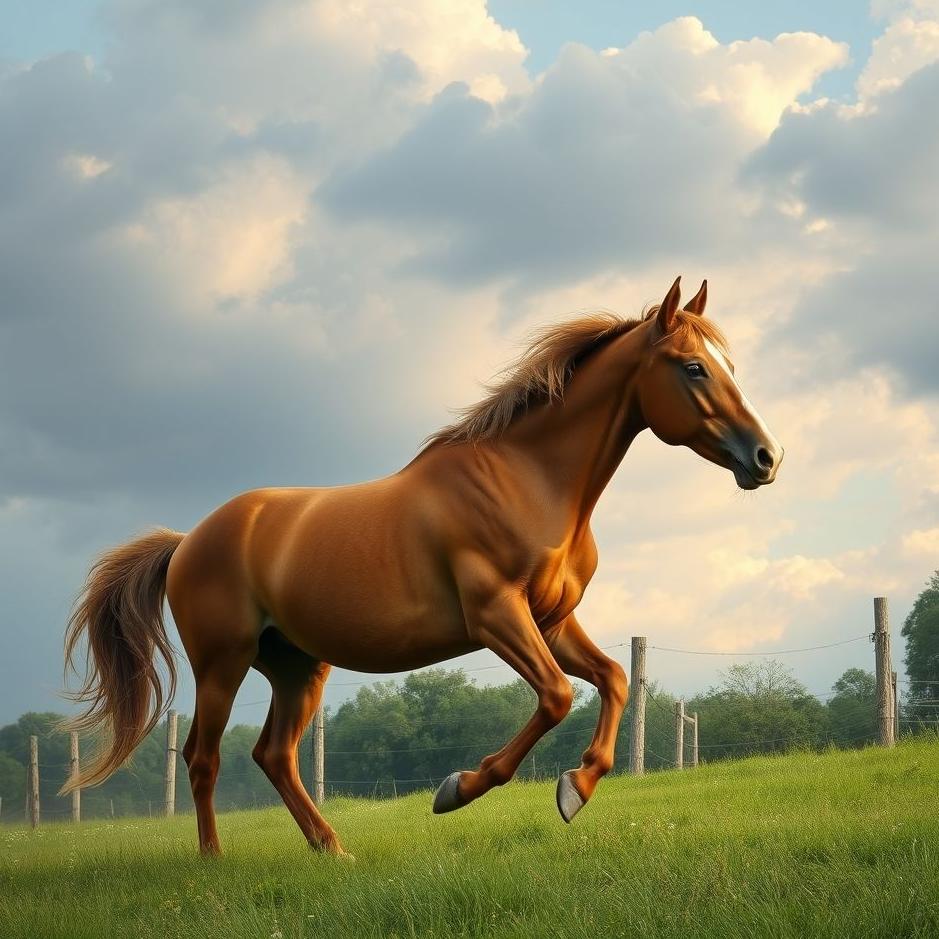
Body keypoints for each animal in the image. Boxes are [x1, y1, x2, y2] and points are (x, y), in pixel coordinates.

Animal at [62, 276, 783, 856]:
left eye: (728, 363)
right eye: (693, 367)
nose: (766, 456)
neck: (525, 480)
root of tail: (188, 540)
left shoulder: (551, 620)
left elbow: (611, 679)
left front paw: (575, 786)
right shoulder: (496, 615)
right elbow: (555, 696)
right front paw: (459, 788)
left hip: (297, 666)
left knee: (273, 754)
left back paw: (333, 849)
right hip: (223, 664)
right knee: (203, 758)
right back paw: (214, 859)